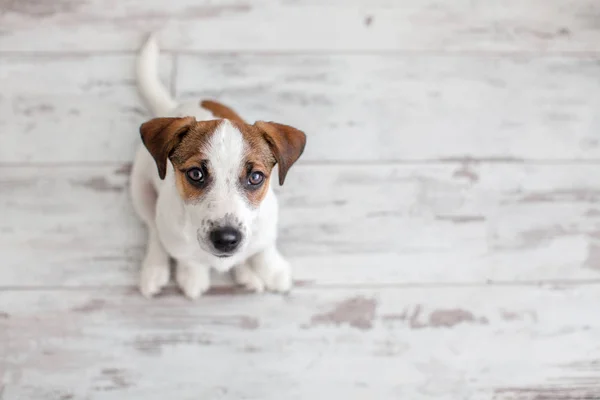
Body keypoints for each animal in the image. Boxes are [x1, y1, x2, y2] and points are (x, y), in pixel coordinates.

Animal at [129, 36, 308, 298]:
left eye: (256, 177)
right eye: (195, 174)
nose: (226, 239)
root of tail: (175, 108)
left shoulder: (266, 225)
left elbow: (264, 248)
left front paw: (274, 271)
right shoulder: (177, 241)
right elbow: (188, 259)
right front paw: (192, 276)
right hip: (140, 188)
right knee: (153, 229)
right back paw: (155, 269)